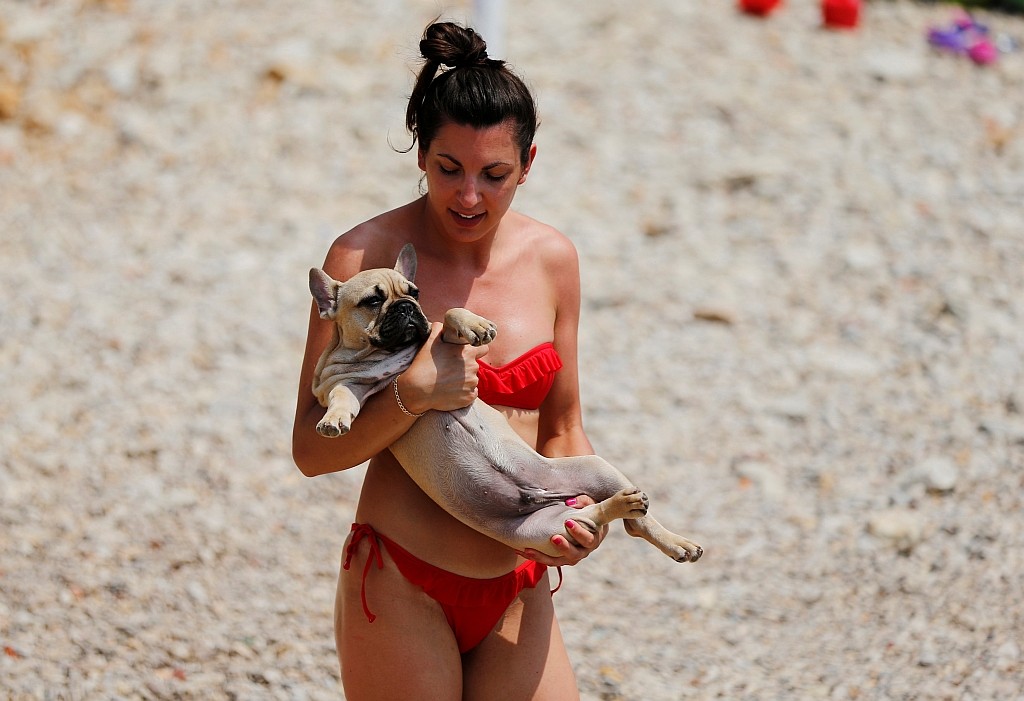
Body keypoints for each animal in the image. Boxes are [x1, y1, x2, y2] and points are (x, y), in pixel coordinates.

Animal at [308, 244, 703, 562]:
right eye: (373, 301)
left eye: (415, 293)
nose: (406, 308)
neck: (387, 354)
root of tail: (543, 496)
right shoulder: (344, 385)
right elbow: (343, 398)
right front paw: (335, 420)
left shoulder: (442, 340)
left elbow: (451, 312)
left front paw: (476, 325)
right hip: (547, 529)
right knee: (594, 517)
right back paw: (626, 505)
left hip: (594, 469)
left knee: (636, 524)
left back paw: (676, 541)